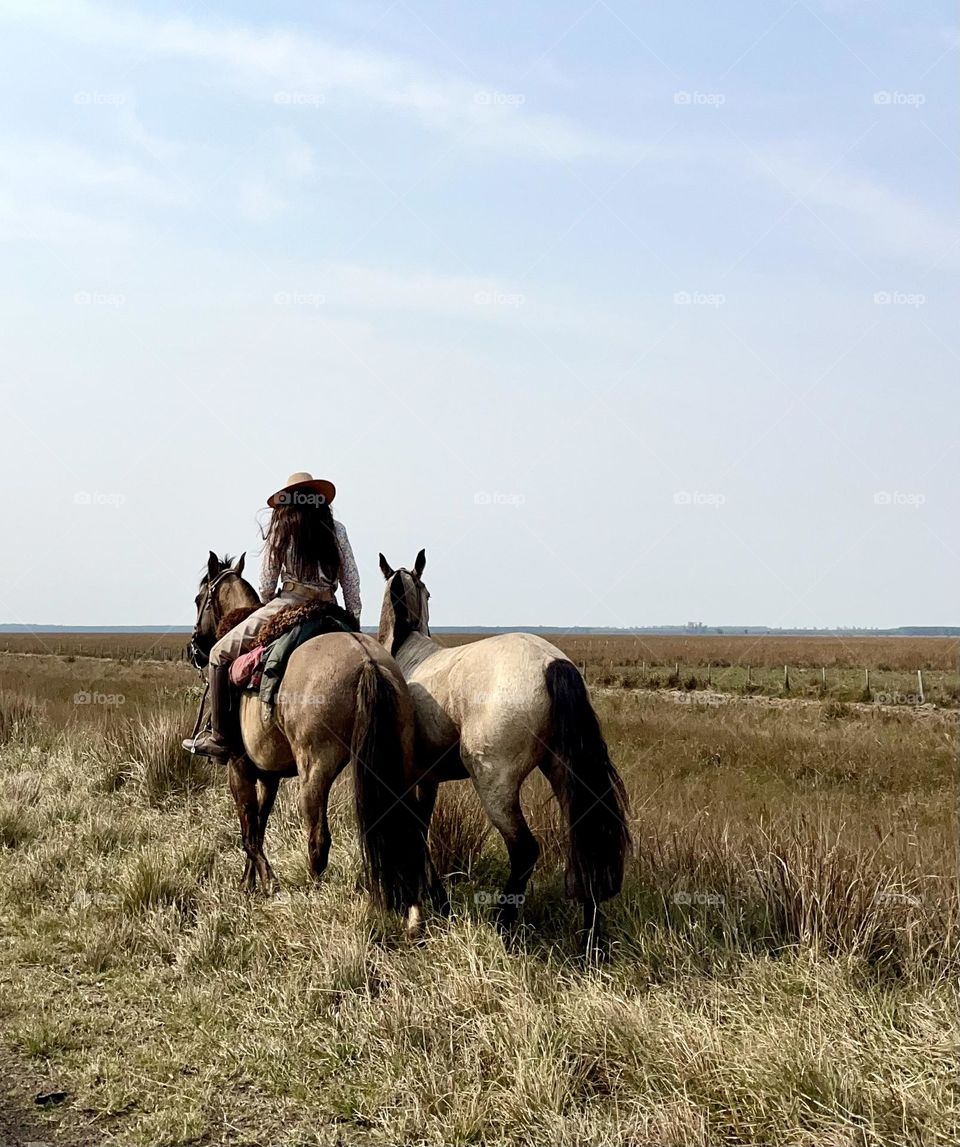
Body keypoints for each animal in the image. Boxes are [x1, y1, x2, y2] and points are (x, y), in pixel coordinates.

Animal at [188, 552, 430, 932]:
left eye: (200, 599)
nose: (195, 648)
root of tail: (367, 662)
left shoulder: (239, 768)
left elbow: (248, 830)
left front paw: (265, 883)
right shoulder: (269, 775)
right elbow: (259, 825)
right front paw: (249, 882)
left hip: (316, 771)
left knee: (318, 840)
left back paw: (314, 904)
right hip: (400, 761)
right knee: (409, 829)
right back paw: (413, 915)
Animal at [377, 549, 631, 941]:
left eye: (429, 593)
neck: (405, 653)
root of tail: (551, 663)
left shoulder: (411, 779)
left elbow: (415, 833)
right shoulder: (427, 780)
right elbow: (421, 830)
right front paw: (436, 905)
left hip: (495, 785)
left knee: (525, 850)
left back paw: (502, 922)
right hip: (562, 774)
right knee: (585, 845)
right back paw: (590, 941)